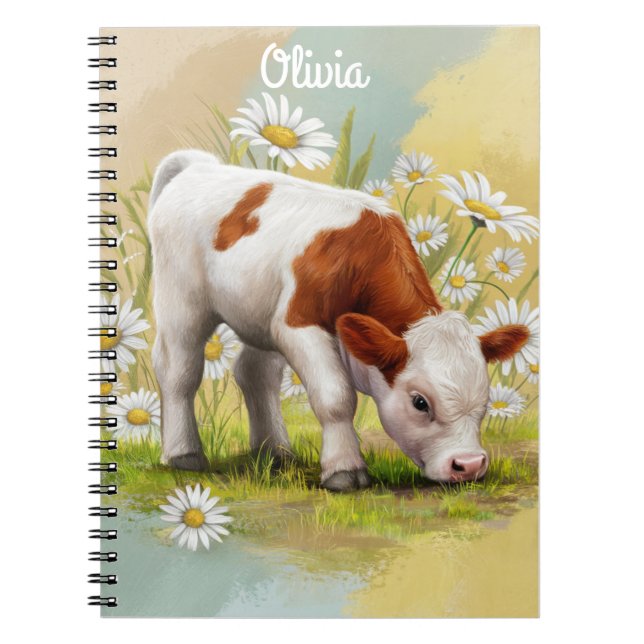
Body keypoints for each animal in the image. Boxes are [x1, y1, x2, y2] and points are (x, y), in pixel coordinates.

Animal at [148, 149, 528, 491]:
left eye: (484, 398)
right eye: (420, 402)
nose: (469, 464)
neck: (359, 257)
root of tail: (198, 166)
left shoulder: (281, 322)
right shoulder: (299, 324)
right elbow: (336, 398)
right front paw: (345, 470)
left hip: (259, 314)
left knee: (255, 373)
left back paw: (276, 452)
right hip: (181, 300)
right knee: (179, 372)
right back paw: (184, 455)